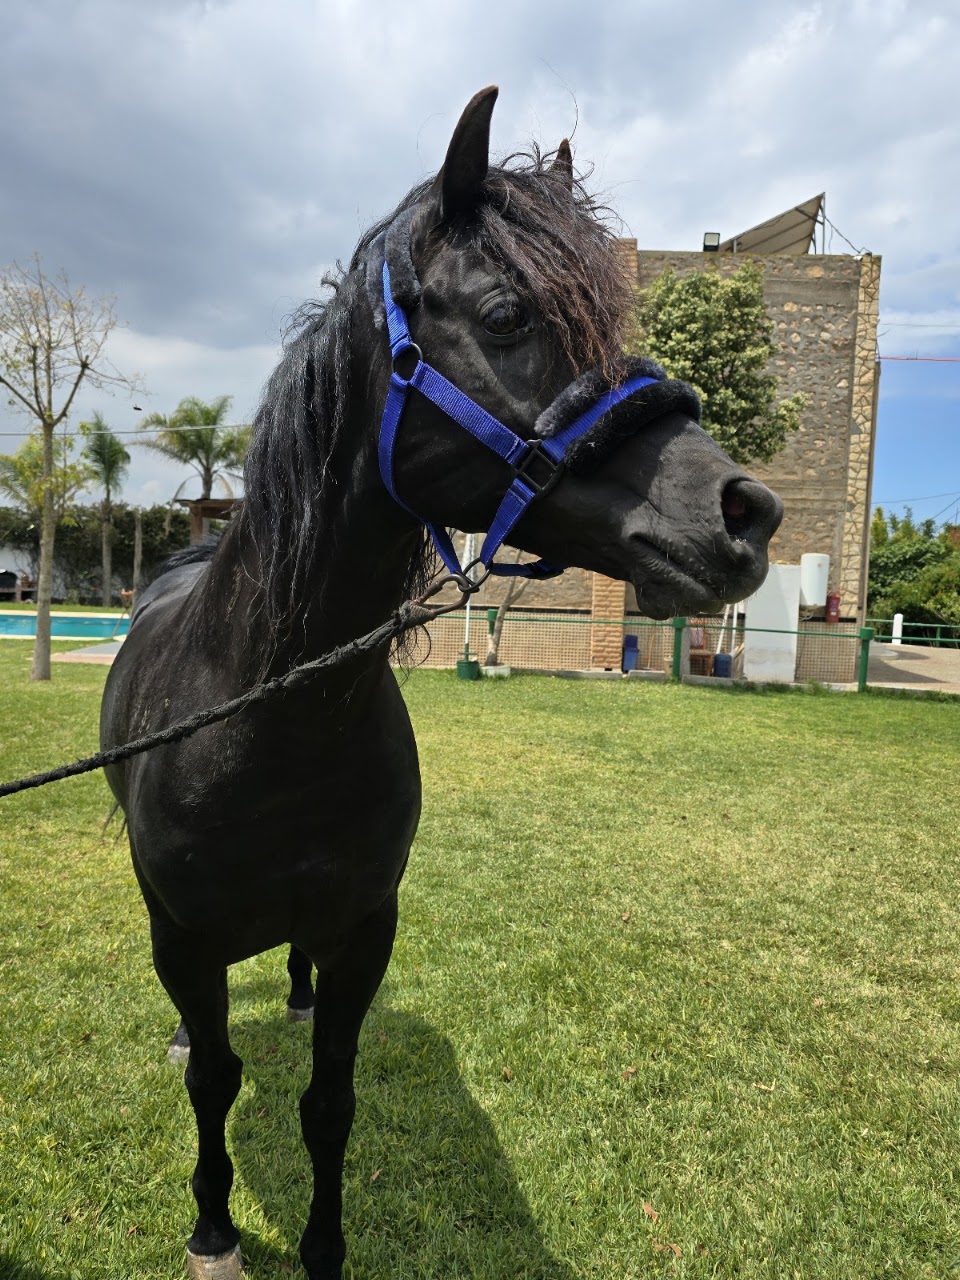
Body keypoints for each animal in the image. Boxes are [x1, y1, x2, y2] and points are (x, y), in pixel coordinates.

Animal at [100, 86, 783, 1280]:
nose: (747, 512)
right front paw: (216, 1226)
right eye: (507, 315)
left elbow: (329, 1104)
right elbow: (216, 1083)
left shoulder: (365, 930)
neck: (270, 722)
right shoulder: (185, 937)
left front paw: (325, 1249)